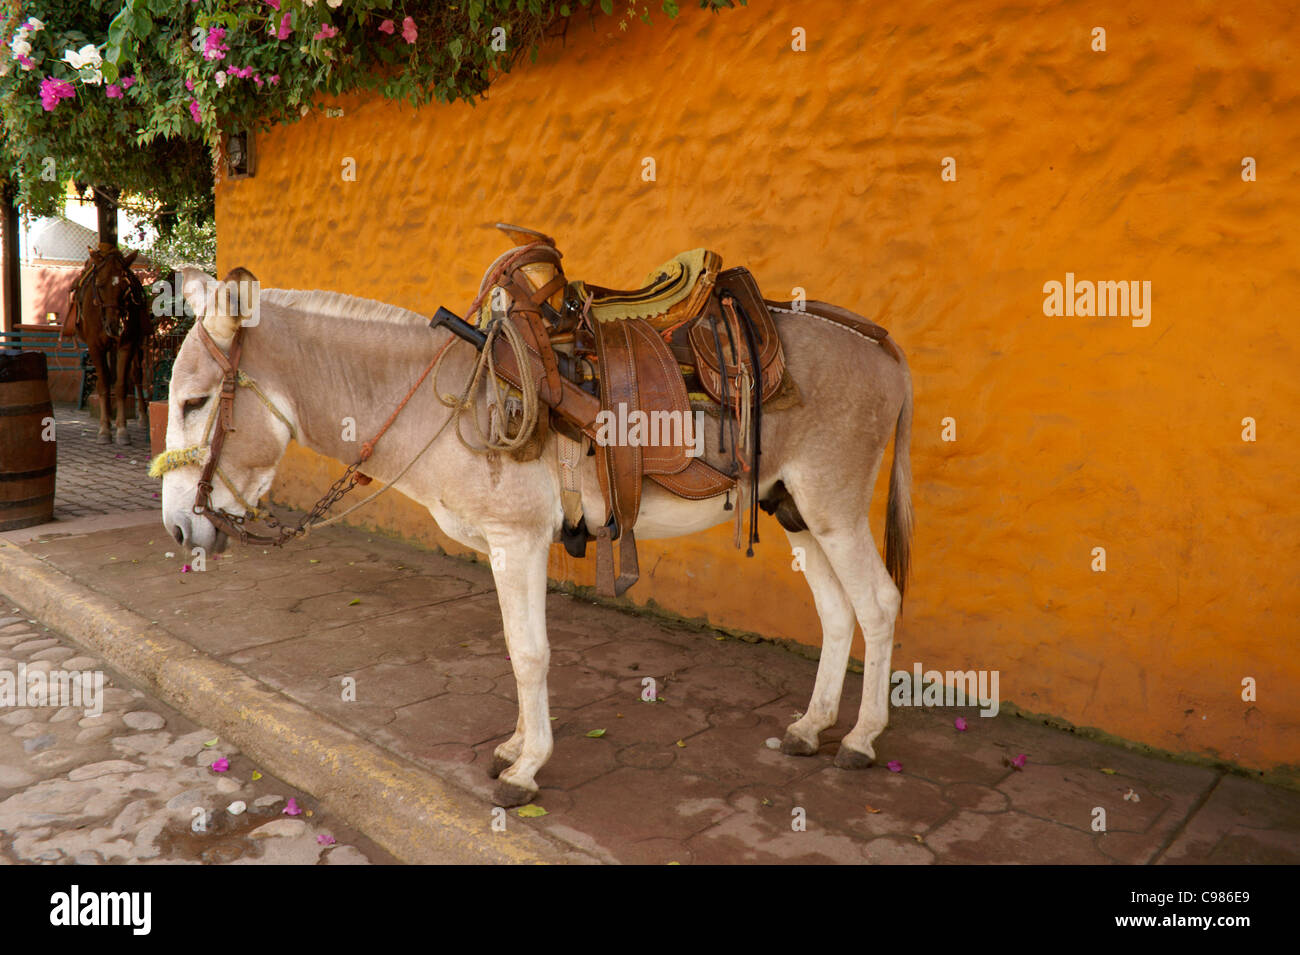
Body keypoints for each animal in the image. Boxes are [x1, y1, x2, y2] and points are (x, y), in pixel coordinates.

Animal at [64, 242, 150, 444]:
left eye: (126, 287)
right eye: (99, 285)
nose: (114, 326)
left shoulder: (127, 344)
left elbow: (121, 386)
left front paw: (122, 430)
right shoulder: (95, 347)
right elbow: (103, 385)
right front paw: (104, 429)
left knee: (137, 376)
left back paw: (142, 417)